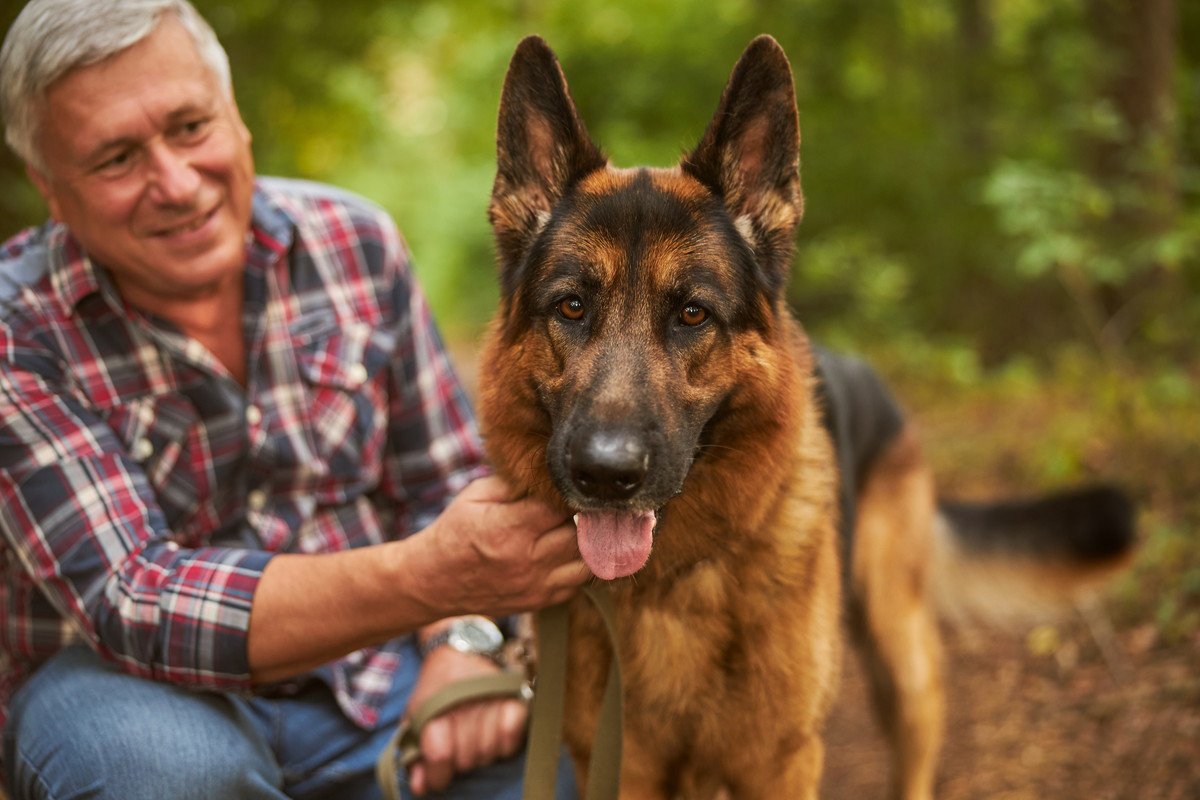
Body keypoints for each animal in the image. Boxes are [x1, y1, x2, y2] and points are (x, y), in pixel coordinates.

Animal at [472, 34, 1128, 796]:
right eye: (571, 306)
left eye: (692, 314)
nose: (606, 474)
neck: (674, 582)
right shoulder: (624, 769)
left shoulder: (780, 762)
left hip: (903, 662)